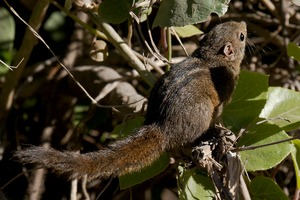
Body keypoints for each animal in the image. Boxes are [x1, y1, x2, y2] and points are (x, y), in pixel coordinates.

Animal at [14, 21, 247, 182]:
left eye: (221, 25)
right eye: (242, 36)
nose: (244, 23)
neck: (211, 57)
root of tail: (161, 126)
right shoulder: (222, 96)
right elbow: (219, 114)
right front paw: (220, 130)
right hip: (201, 113)